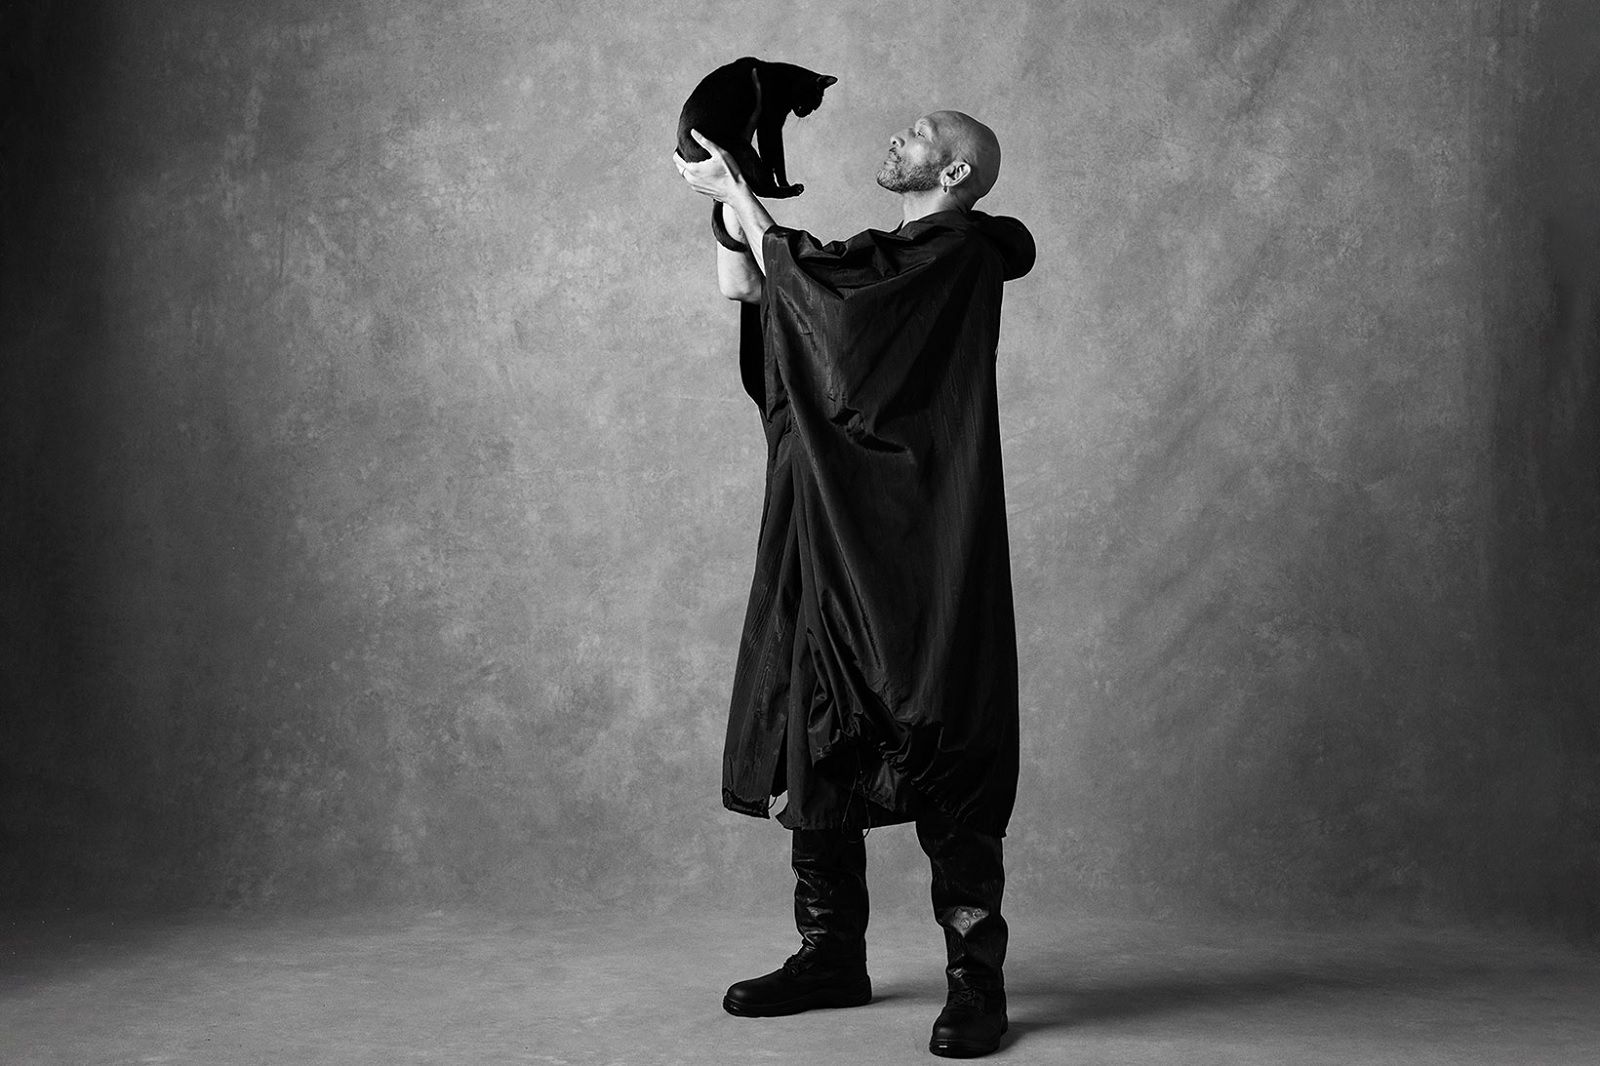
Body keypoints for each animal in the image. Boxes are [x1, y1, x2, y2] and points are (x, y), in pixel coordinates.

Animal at [677, 57, 836, 243]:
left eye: (815, 106)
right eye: (814, 101)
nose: (807, 112)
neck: (783, 78)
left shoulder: (770, 126)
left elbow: (775, 159)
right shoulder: (770, 125)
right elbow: (775, 157)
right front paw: (783, 182)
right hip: (742, 149)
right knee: (762, 189)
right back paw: (790, 190)